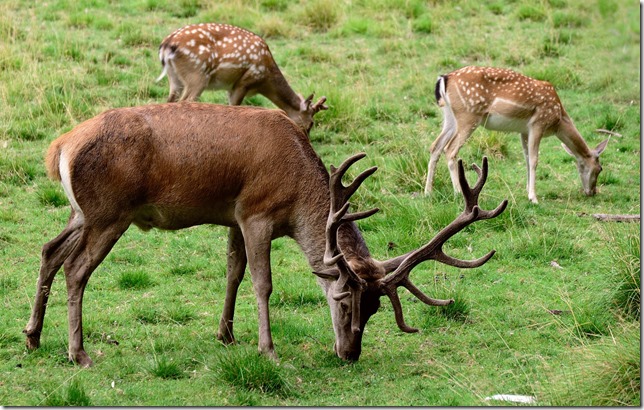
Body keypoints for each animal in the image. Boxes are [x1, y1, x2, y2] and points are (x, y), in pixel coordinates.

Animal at [23, 101, 508, 366]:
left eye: (375, 310)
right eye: (344, 301)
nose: (350, 353)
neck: (296, 196)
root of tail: (60, 147)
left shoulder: (233, 217)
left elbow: (233, 273)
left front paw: (226, 335)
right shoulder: (256, 214)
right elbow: (262, 283)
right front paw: (268, 349)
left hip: (82, 212)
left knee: (48, 250)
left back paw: (32, 337)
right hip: (110, 213)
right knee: (76, 268)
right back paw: (79, 353)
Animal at [156, 22, 328, 134]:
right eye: (311, 123)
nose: (305, 138)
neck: (264, 80)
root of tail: (166, 46)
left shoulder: (232, 87)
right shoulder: (244, 82)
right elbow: (235, 107)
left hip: (175, 78)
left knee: (170, 100)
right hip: (197, 75)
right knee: (185, 101)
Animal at [422, 65, 608, 203]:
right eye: (600, 168)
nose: (592, 192)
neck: (558, 119)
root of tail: (444, 79)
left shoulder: (524, 131)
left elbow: (526, 159)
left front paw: (527, 191)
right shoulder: (538, 124)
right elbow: (534, 160)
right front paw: (533, 198)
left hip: (450, 116)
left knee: (435, 146)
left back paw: (428, 192)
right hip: (468, 115)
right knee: (450, 149)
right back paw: (458, 193)